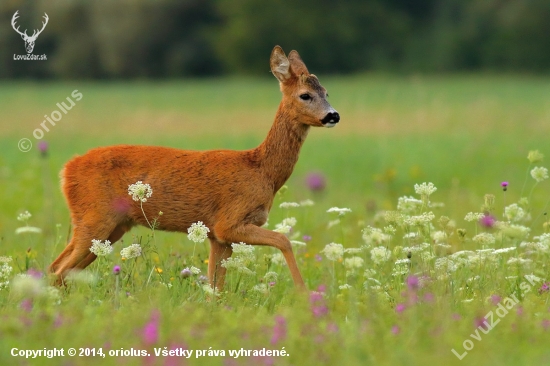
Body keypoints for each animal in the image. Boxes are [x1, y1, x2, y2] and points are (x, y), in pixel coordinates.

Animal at [49, 45, 340, 290]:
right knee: (59, 269)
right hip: (95, 216)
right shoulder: (229, 222)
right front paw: (304, 294)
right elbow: (284, 240)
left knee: (58, 267)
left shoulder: (218, 236)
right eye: (305, 95)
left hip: (111, 226)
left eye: (327, 93)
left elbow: (215, 287)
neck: (262, 171)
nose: (333, 115)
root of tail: (67, 170)